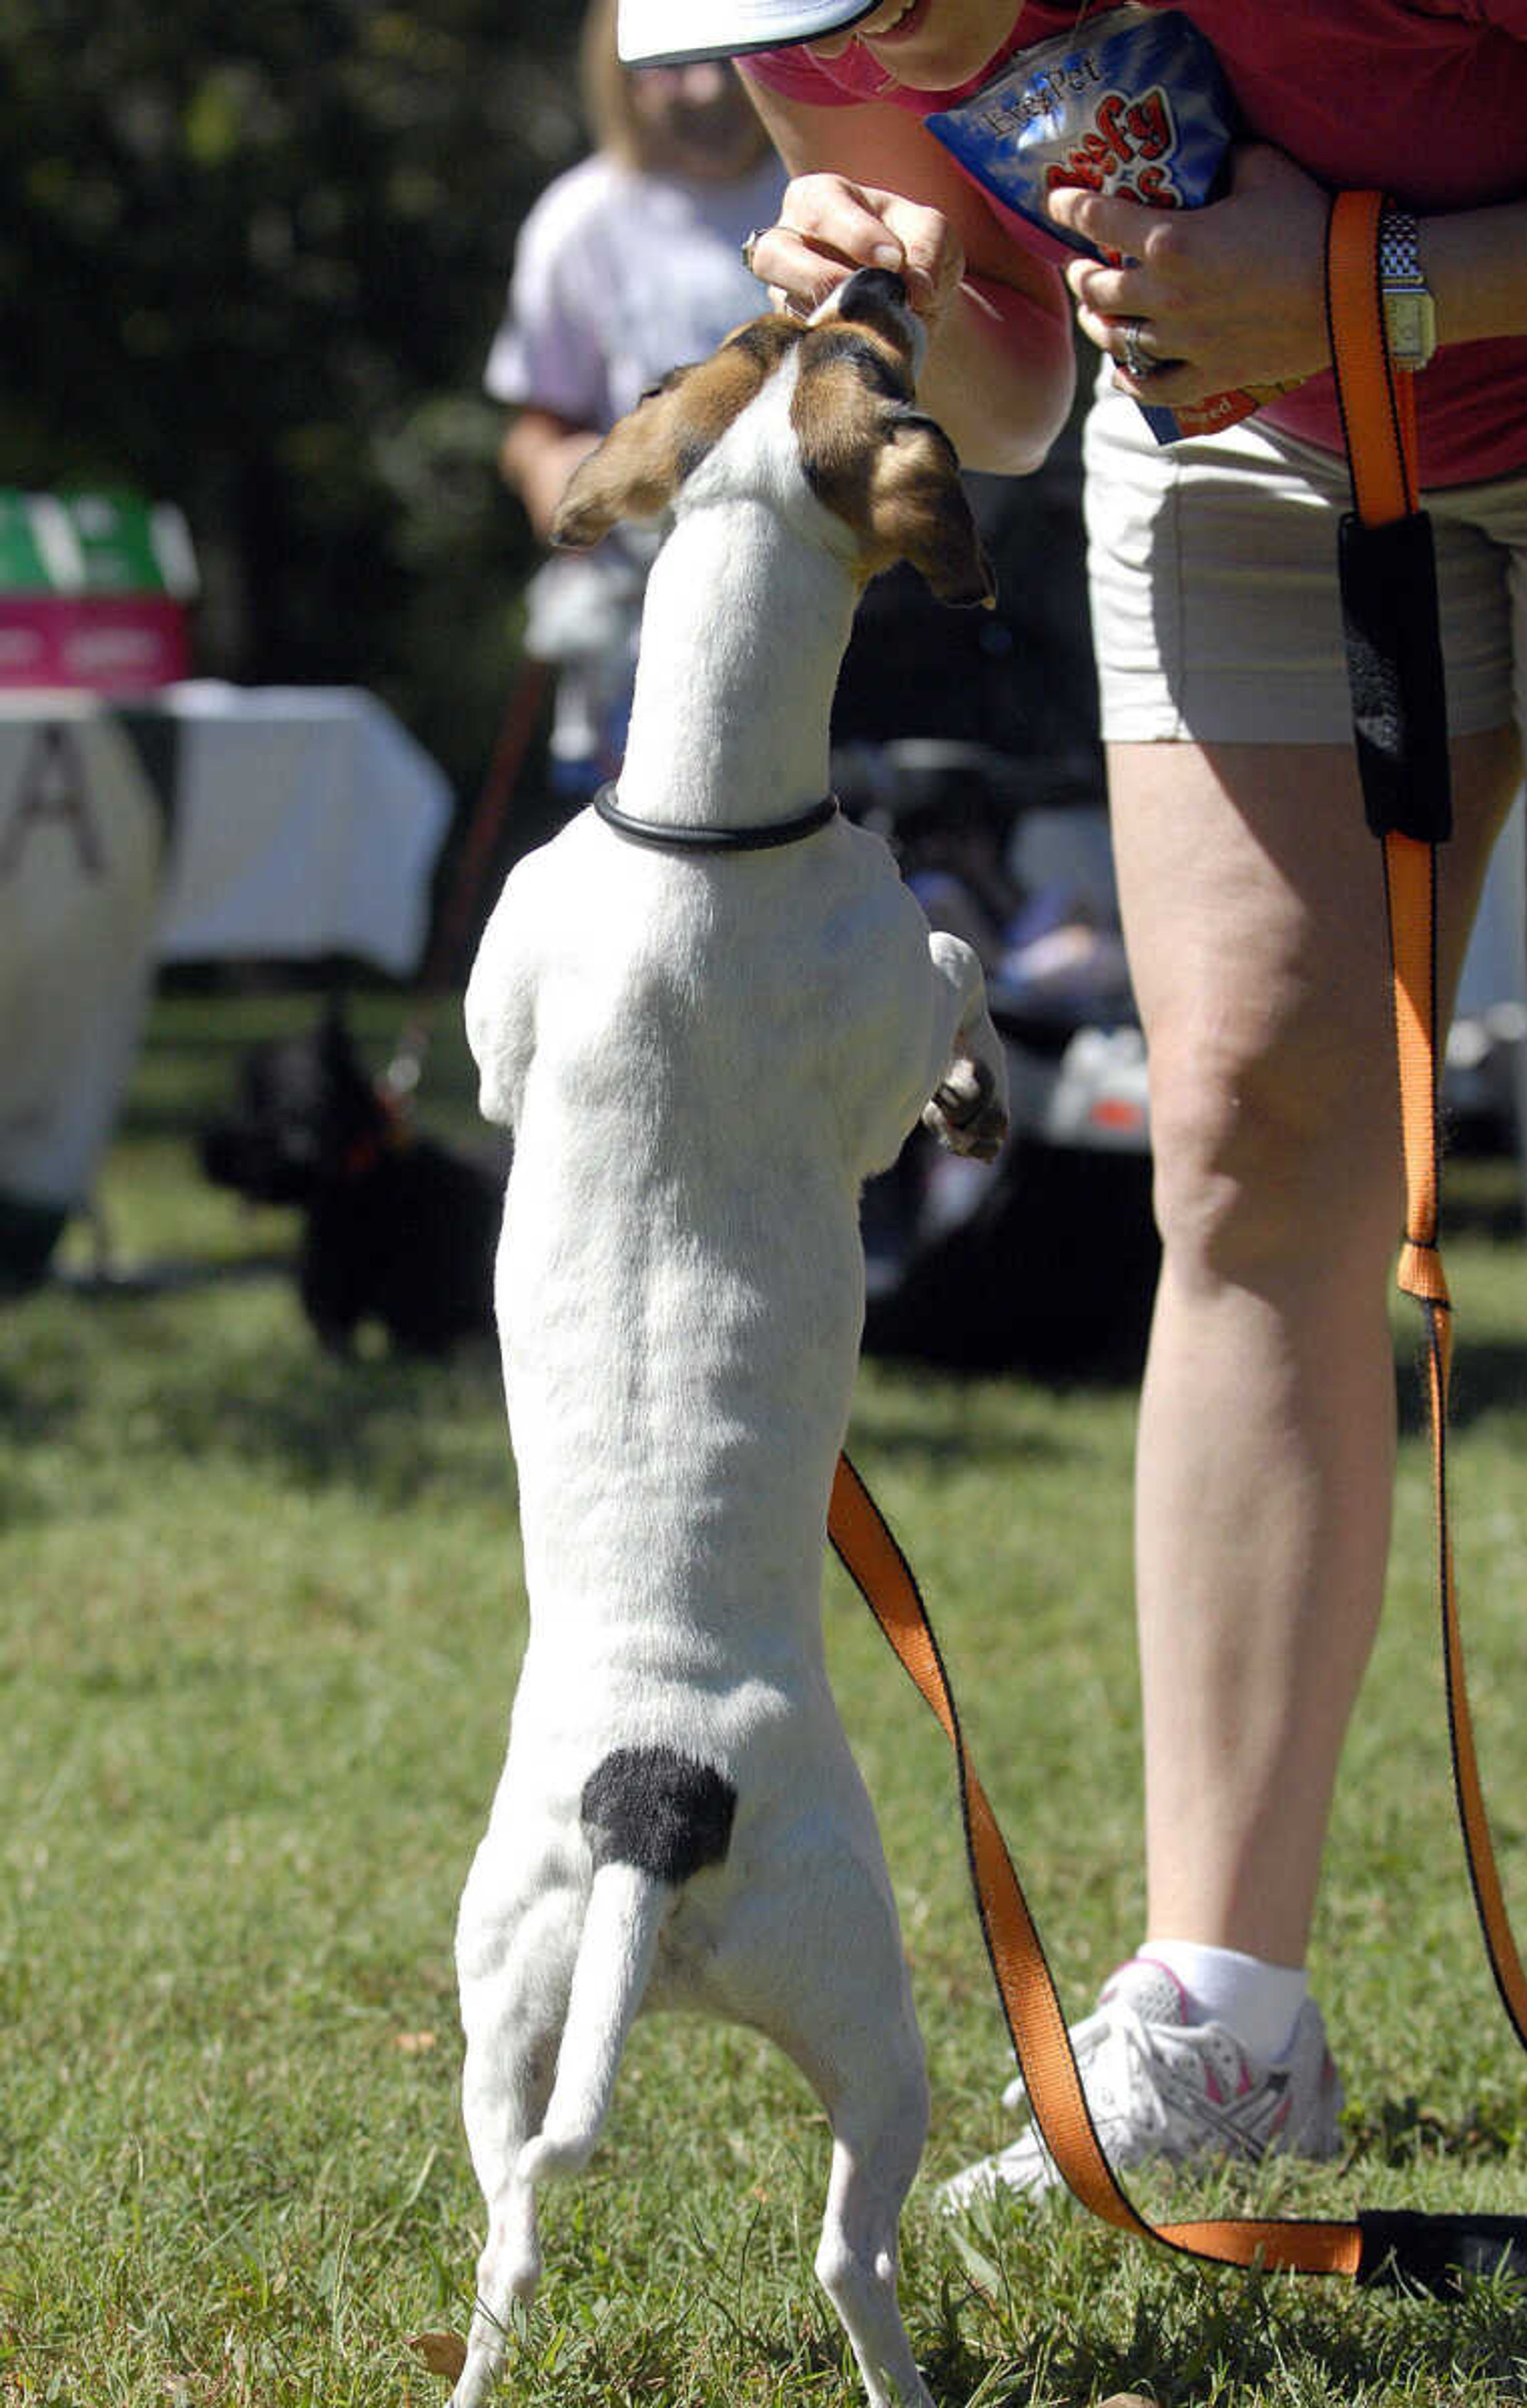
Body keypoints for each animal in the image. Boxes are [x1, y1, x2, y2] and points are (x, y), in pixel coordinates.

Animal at [445, 268, 1006, 2408]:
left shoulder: (495, 1024)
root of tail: (647, 1808)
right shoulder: (891, 980)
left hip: (501, 2013)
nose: (869, 264)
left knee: (512, 2236)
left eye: (750, 333)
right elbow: (955, 959)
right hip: (877, 2012)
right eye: (885, 358)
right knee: (853, 2247)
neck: (698, 802)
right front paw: (979, 1092)